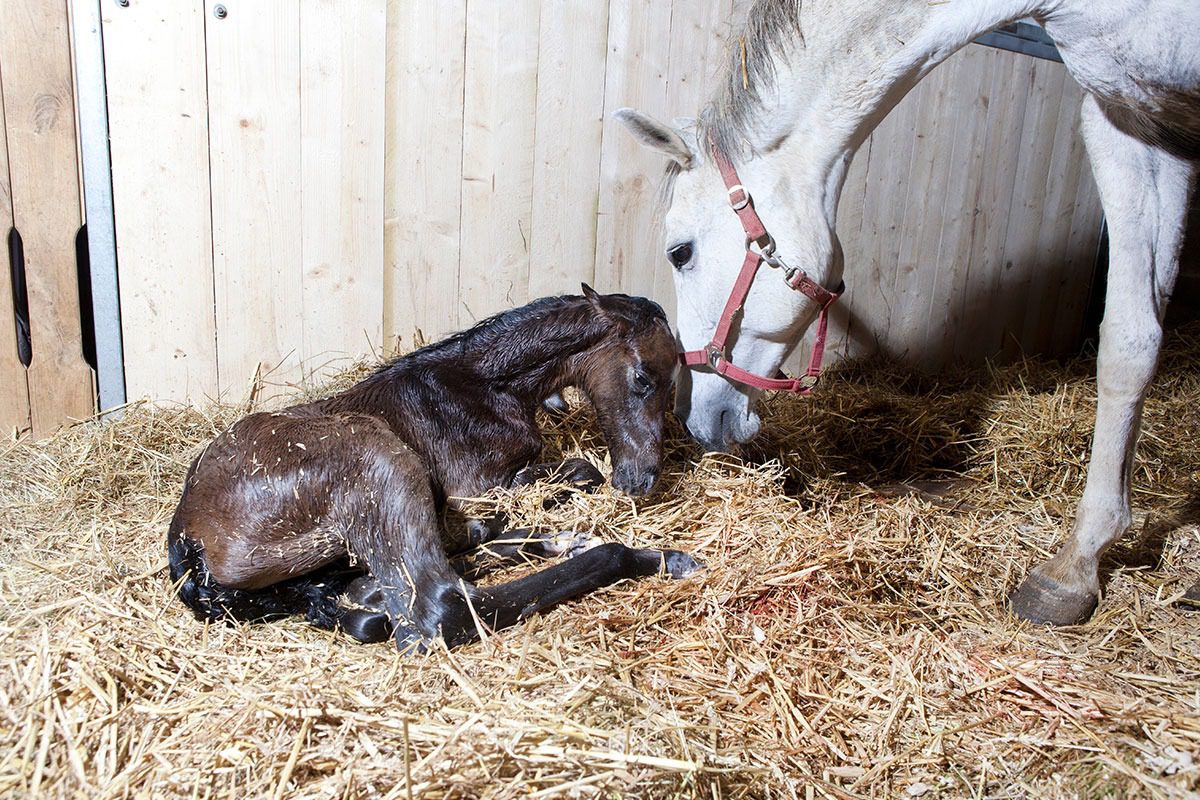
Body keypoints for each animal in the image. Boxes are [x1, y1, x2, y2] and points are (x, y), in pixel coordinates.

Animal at [167, 286, 702, 650]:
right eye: (643, 378)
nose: (642, 478)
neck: (482, 387)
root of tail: (188, 540)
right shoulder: (478, 487)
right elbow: (578, 473)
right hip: (378, 456)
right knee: (441, 605)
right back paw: (649, 556)